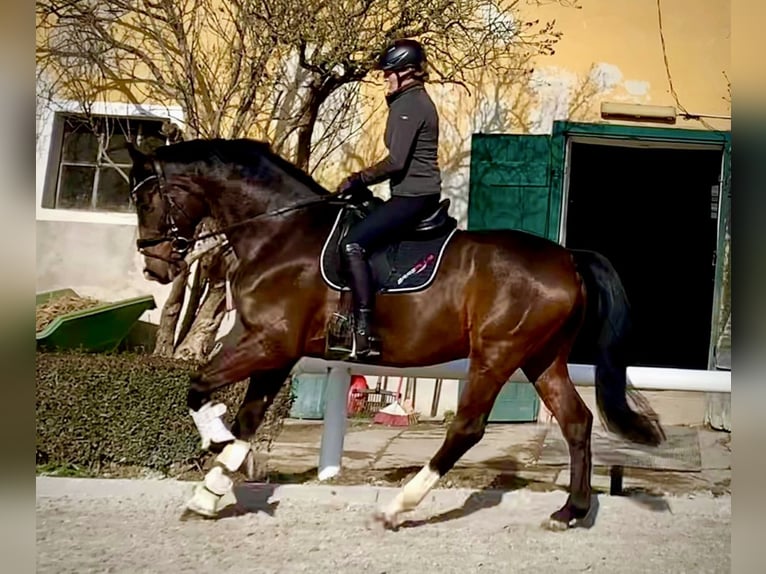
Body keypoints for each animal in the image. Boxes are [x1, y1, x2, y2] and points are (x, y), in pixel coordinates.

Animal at [126, 137, 664, 532]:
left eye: (146, 198)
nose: (155, 267)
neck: (282, 233)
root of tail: (568, 258)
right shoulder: (278, 349)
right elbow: (249, 417)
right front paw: (210, 491)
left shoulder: (269, 342)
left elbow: (199, 387)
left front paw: (213, 443)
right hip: (541, 358)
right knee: (576, 421)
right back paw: (570, 512)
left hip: (497, 354)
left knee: (468, 427)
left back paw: (396, 507)